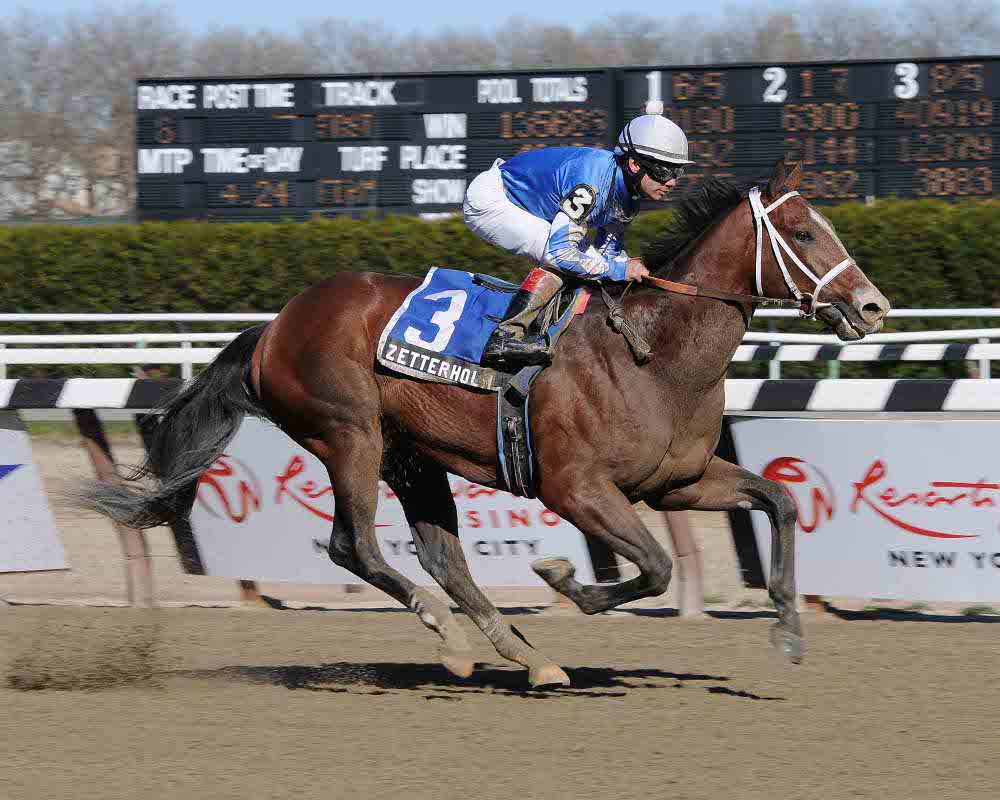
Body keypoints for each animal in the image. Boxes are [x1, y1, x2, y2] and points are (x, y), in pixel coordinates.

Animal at [85, 159, 889, 688]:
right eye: (802, 233)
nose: (873, 306)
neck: (653, 353)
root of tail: (274, 328)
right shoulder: (576, 487)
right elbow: (656, 567)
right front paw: (565, 579)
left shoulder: (678, 482)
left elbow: (778, 501)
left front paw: (787, 630)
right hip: (349, 435)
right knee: (355, 546)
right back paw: (449, 637)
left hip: (412, 454)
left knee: (444, 558)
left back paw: (527, 656)